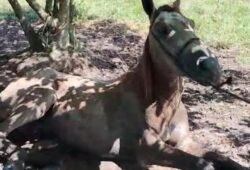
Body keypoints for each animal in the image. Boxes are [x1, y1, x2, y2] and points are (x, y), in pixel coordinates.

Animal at [0, 0, 247, 170]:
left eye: (192, 23)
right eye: (164, 29)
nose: (211, 67)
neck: (160, 106)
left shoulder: (184, 141)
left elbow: (221, 158)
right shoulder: (149, 149)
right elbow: (203, 164)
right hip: (42, 97)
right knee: (4, 134)